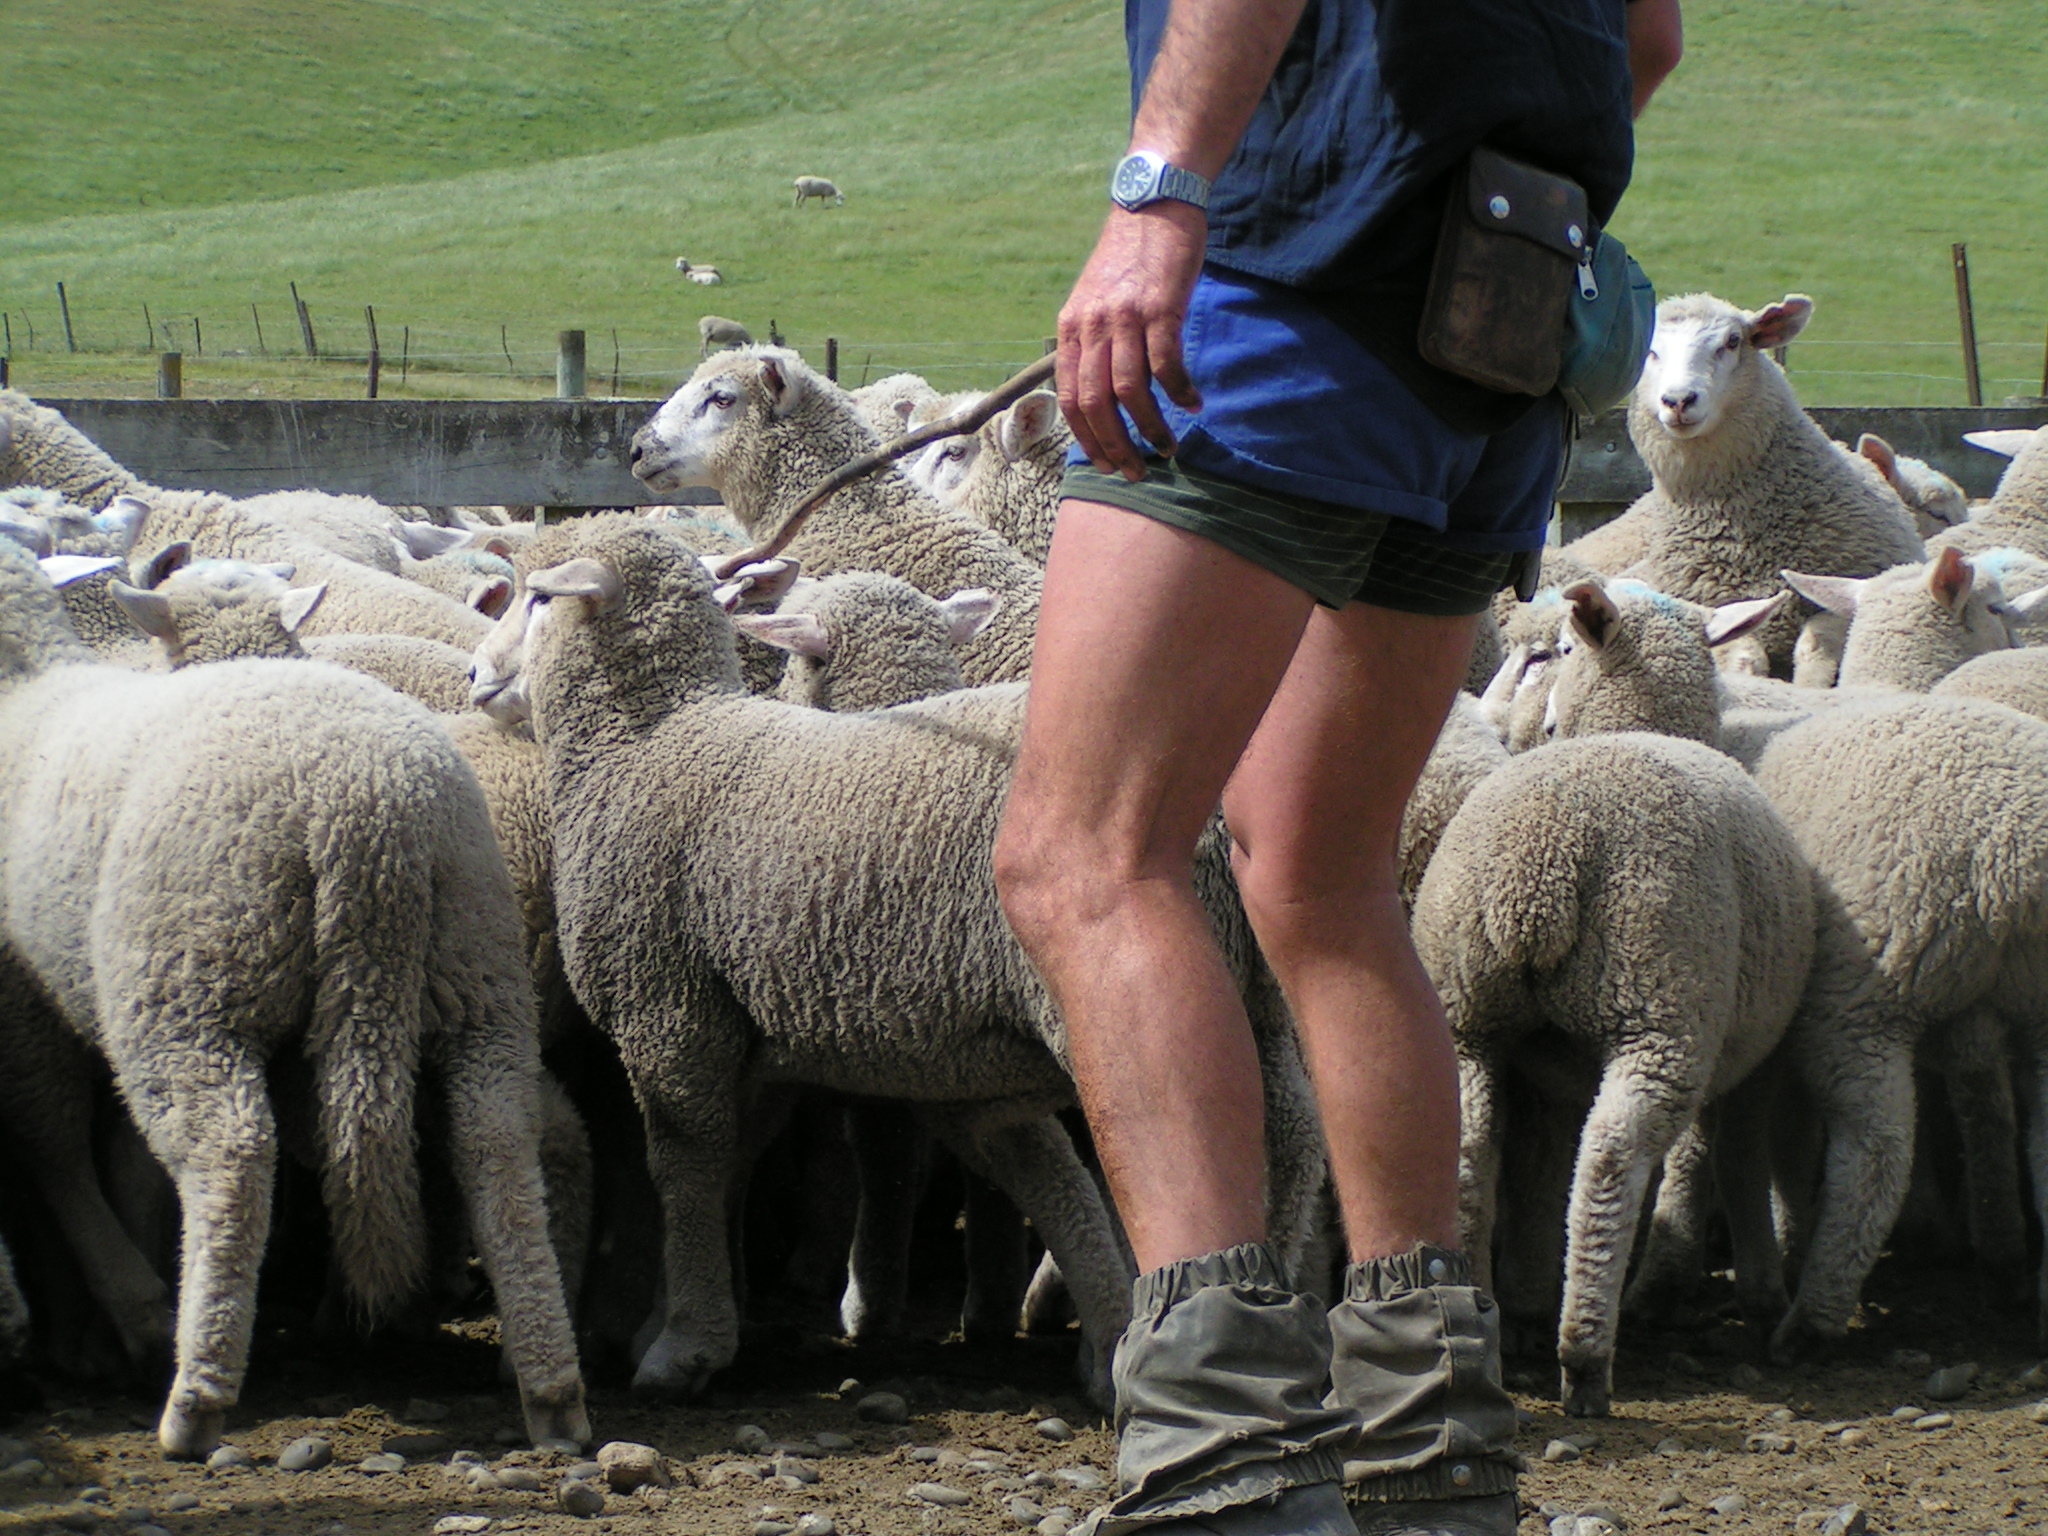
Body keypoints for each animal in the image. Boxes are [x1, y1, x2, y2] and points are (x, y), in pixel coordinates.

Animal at [0, 541, 587, 1456]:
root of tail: (366, 808)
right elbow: (124, 1164)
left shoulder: (38, 1000)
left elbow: (56, 1144)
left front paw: (126, 1317)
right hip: (476, 971)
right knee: (499, 1145)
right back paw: (553, 1395)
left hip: (191, 985)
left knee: (231, 1157)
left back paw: (194, 1395)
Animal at [468, 515, 1325, 1403]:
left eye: (537, 600)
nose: (476, 677)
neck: (649, 740)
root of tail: (1219, 821)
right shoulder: (770, 1036)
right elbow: (743, 1158)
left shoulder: (668, 1009)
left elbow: (685, 1164)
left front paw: (684, 1345)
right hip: (1253, 992)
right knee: (1288, 1135)